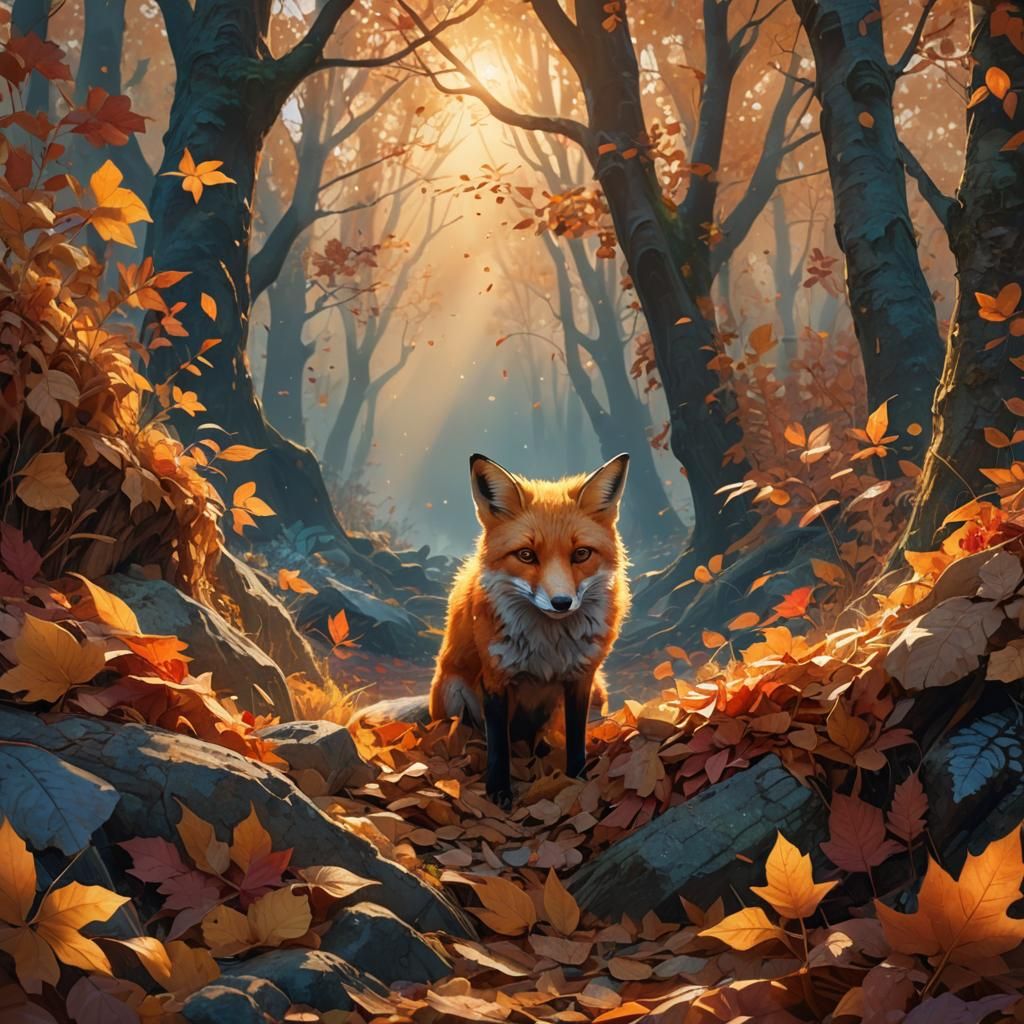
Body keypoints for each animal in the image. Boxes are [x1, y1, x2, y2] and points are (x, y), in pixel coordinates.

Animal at [429, 452, 631, 807]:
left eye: (581, 554)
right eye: (526, 555)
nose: (562, 602)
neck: (548, 647)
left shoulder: (581, 679)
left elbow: (576, 738)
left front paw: (578, 780)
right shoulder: (494, 678)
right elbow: (499, 747)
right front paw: (498, 793)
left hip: (598, 693)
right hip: (453, 694)